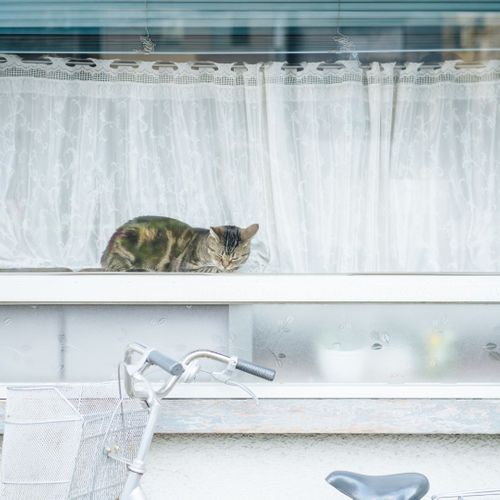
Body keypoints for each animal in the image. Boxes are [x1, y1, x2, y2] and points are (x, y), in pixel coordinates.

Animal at [100, 216, 260, 274]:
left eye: (235, 258)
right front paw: (219, 269)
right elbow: (210, 268)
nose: (225, 265)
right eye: (219, 255)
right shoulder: (186, 266)